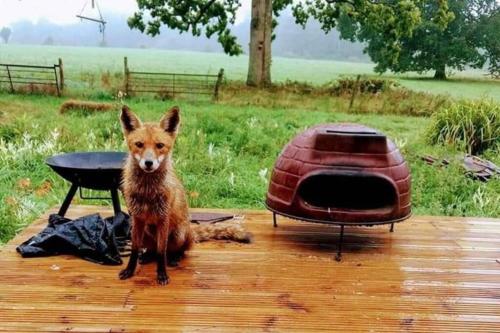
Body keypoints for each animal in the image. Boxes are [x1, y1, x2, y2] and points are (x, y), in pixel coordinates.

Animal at [119, 105, 252, 284]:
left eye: (159, 145)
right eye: (139, 144)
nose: (148, 163)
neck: (148, 190)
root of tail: (191, 231)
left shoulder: (163, 218)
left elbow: (161, 252)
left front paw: (162, 274)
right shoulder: (137, 218)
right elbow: (134, 250)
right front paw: (129, 270)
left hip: (178, 234)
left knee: (176, 250)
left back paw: (175, 258)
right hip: (143, 231)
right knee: (151, 249)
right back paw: (147, 255)